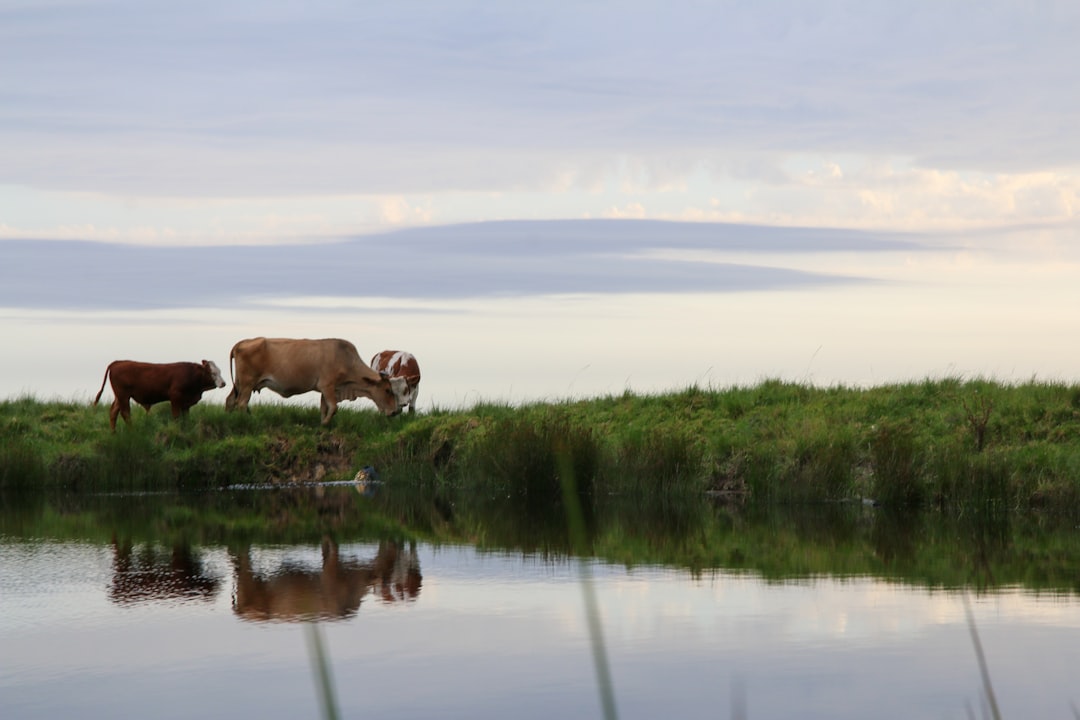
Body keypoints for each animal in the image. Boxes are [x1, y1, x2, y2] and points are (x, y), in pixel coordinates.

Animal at [92, 358, 225, 431]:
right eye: (212, 373)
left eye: (220, 371)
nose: (223, 383)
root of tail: (117, 362)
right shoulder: (175, 396)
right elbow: (176, 416)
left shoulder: (186, 403)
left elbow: (186, 417)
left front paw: (186, 428)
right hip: (123, 395)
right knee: (125, 413)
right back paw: (131, 430)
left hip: (119, 396)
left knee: (113, 412)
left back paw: (113, 432)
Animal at [225, 336, 403, 425]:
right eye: (387, 390)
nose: (395, 411)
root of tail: (242, 342)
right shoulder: (328, 386)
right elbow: (333, 407)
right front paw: (324, 424)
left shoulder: (326, 390)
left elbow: (324, 407)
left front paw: (322, 423)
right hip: (247, 383)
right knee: (241, 403)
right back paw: (250, 420)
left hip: (240, 384)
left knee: (230, 400)